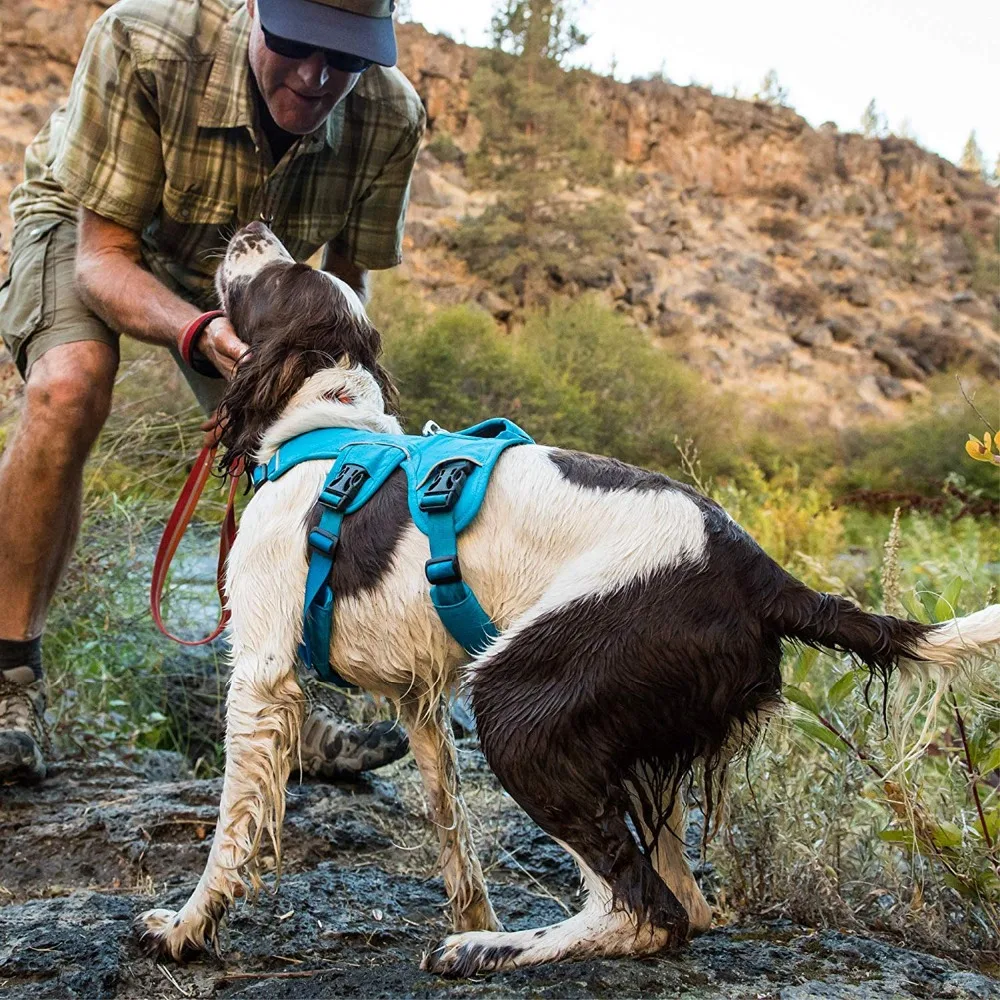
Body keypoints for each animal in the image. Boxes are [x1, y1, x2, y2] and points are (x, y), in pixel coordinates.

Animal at [139, 225, 1000, 976]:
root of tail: (757, 570)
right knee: (684, 903)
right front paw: (474, 911)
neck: (326, 429)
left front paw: (186, 928)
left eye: (277, 277)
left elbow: (231, 829)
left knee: (651, 913)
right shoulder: (421, 700)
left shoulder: (262, 674)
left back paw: (493, 950)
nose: (250, 225)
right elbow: (453, 831)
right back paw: (493, 937)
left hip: (520, 702)